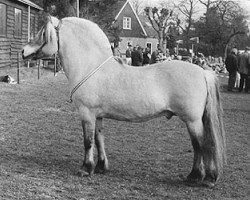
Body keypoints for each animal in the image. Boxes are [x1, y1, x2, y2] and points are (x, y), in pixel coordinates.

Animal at [22, 16, 227, 187]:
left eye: (43, 33)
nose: (23, 51)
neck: (90, 68)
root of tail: (203, 72)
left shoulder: (86, 113)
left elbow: (88, 141)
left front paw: (85, 169)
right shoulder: (98, 116)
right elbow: (99, 139)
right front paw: (101, 167)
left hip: (192, 121)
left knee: (201, 145)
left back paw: (200, 178)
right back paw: (202, 177)